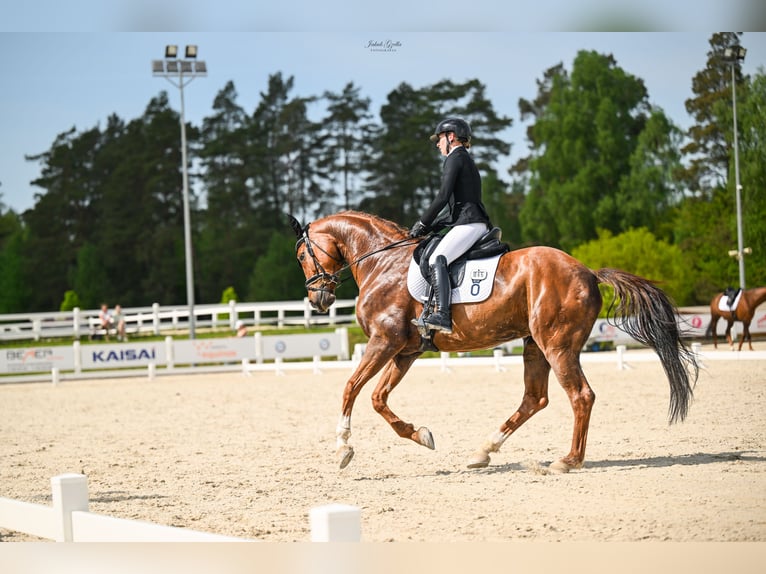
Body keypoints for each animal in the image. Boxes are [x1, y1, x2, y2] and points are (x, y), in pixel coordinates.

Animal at [292, 210, 700, 472]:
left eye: (300, 255)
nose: (317, 300)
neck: (382, 263)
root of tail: (587, 271)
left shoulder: (384, 342)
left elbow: (350, 387)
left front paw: (343, 448)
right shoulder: (406, 351)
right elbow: (378, 399)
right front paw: (421, 435)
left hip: (558, 346)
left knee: (580, 396)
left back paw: (568, 460)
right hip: (535, 345)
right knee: (535, 399)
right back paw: (483, 451)